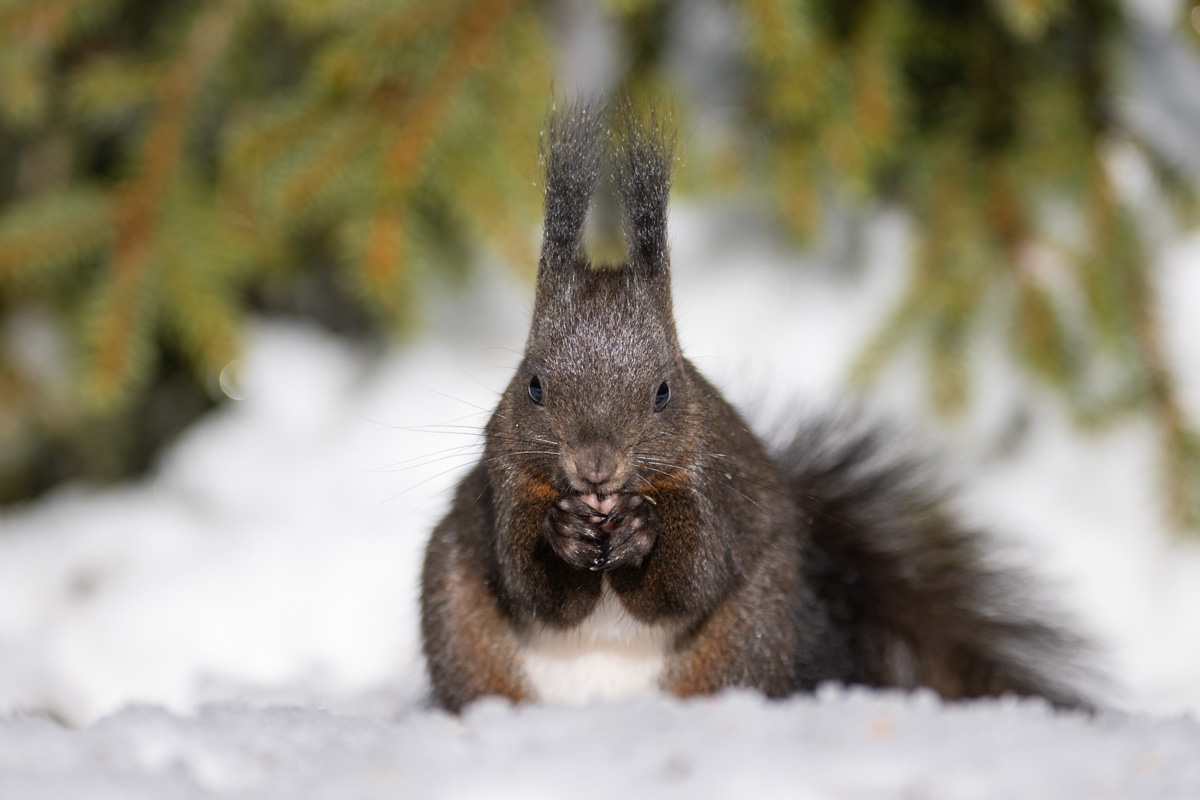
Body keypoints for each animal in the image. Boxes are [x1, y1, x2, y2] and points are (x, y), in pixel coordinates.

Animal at [417, 104, 1094, 714]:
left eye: (665, 391)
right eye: (533, 386)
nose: (595, 468)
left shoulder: (710, 483)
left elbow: (689, 581)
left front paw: (641, 531)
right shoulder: (505, 481)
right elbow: (529, 586)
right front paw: (562, 533)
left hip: (749, 634)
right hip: (460, 624)